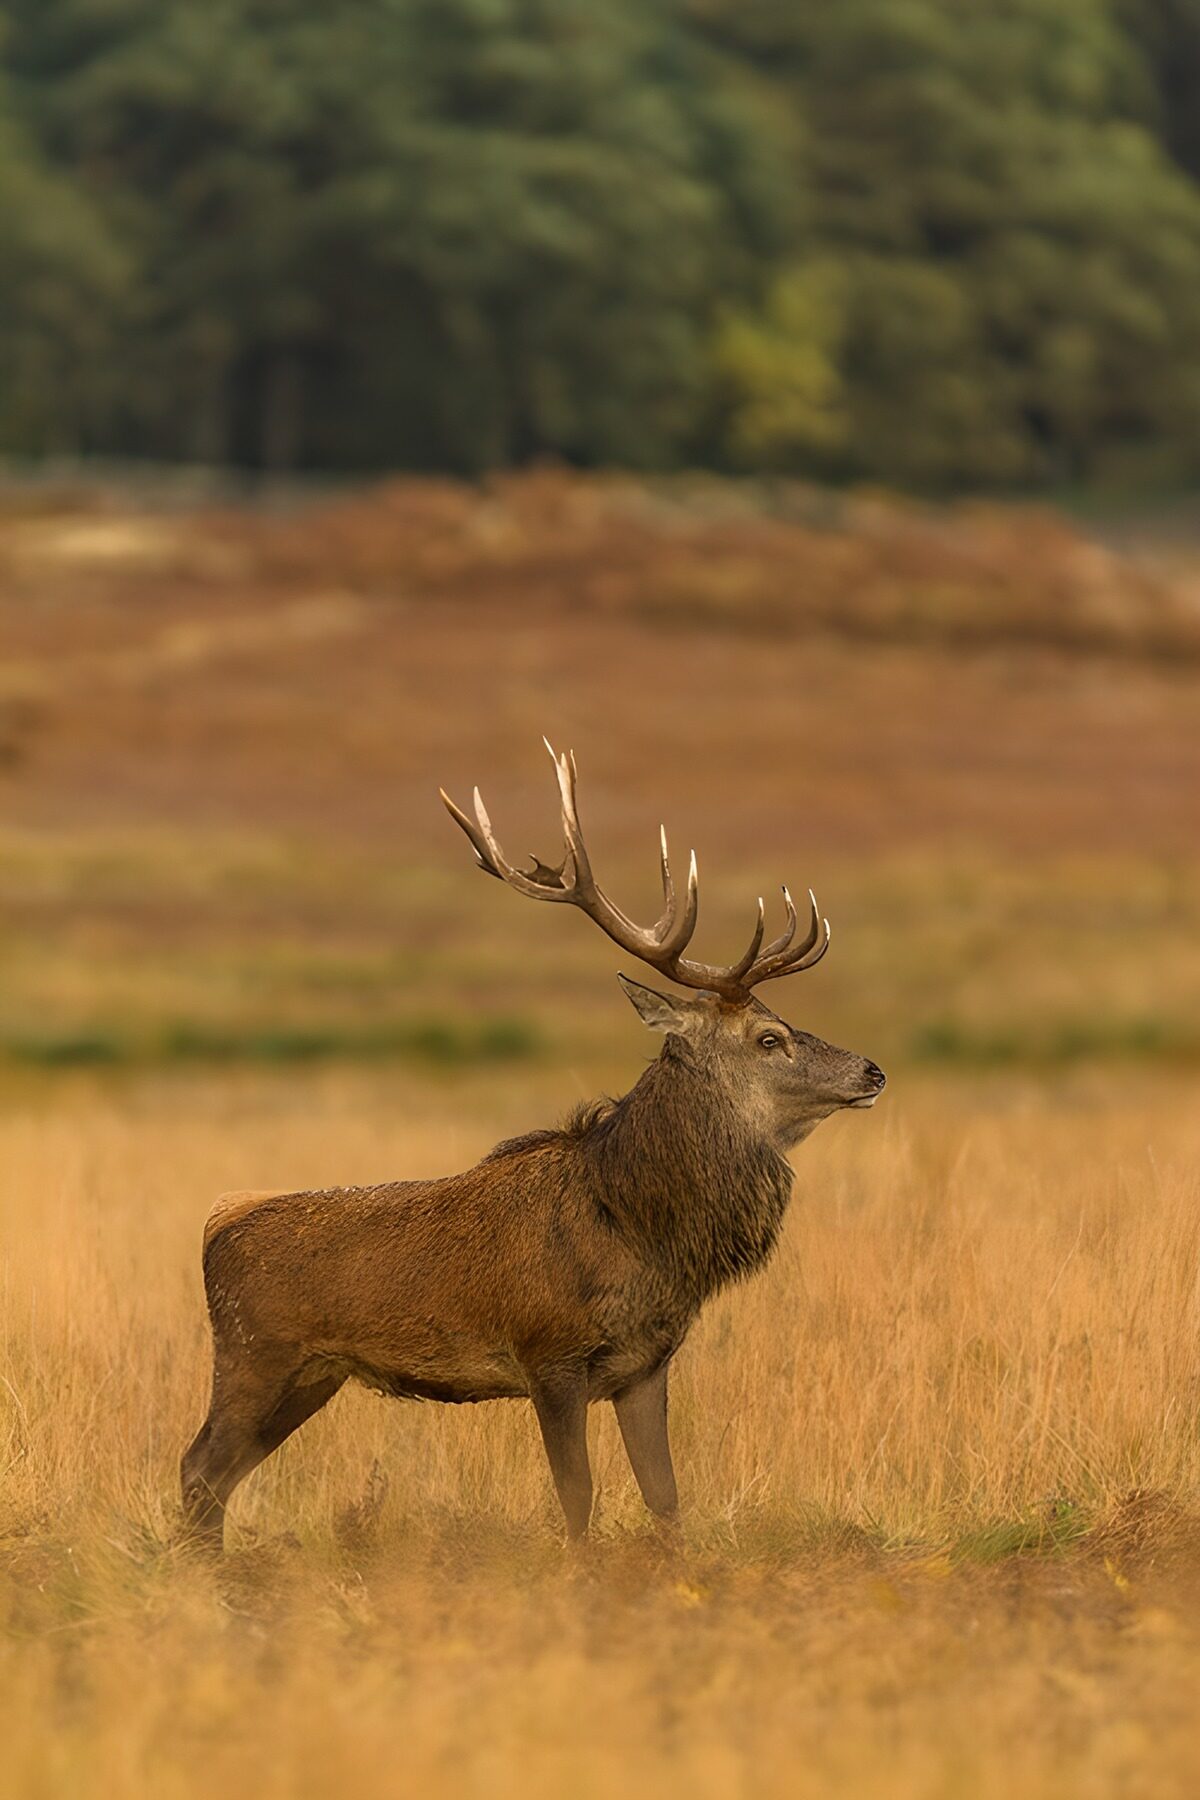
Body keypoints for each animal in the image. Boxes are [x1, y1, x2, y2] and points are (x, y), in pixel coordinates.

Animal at [181, 742, 885, 1548]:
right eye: (770, 1038)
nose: (872, 1070)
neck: (638, 1232)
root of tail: (218, 1221)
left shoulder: (646, 1364)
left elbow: (666, 1496)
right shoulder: (550, 1355)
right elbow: (577, 1495)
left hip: (312, 1375)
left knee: (216, 1476)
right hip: (253, 1353)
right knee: (198, 1466)